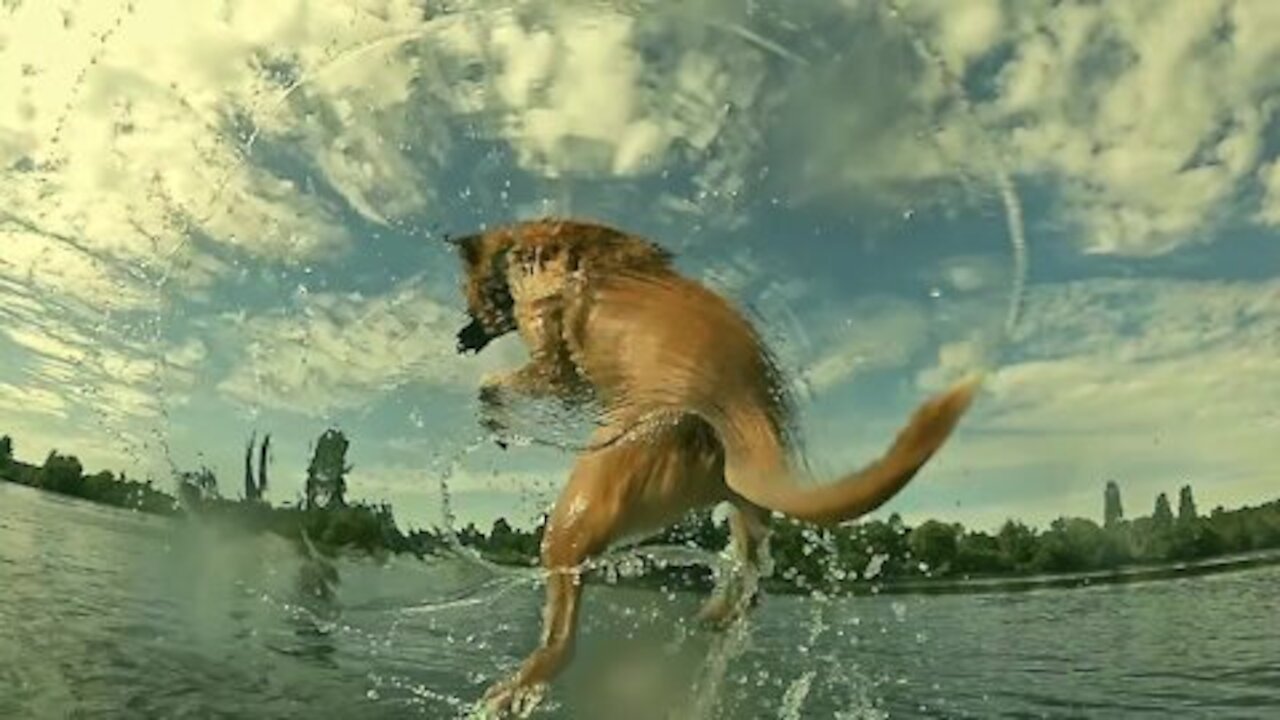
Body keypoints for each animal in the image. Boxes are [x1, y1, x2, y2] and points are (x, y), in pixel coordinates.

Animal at [450, 217, 977, 712]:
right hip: (741, 507)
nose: (460, 339)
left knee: (562, 635)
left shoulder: (554, 359)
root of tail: (743, 417)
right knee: (751, 578)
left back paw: (513, 688)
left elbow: (502, 382)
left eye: (468, 294)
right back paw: (719, 613)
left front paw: (493, 409)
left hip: (582, 505)